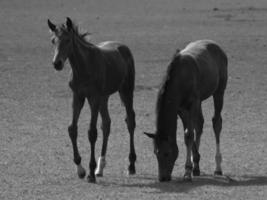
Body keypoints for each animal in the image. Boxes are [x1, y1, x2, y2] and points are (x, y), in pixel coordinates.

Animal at [46, 17, 137, 183]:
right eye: (53, 40)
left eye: (67, 40)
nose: (57, 63)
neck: (83, 66)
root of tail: (122, 46)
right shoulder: (78, 97)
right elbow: (72, 129)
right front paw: (80, 169)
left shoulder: (93, 98)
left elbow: (92, 132)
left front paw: (89, 173)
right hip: (104, 97)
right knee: (106, 123)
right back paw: (100, 168)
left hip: (126, 91)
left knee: (130, 121)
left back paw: (131, 165)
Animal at [144, 39, 228, 182]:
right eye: (155, 152)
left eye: (166, 153)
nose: (163, 178)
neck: (180, 79)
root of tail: (217, 46)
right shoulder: (181, 109)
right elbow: (188, 133)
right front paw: (194, 164)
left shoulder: (193, 103)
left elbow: (189, 134)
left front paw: (187, 171)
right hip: (199, 102)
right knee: (199, 124)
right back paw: (197, 166)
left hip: (219, 91)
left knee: (217, 123)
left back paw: (218, 167)